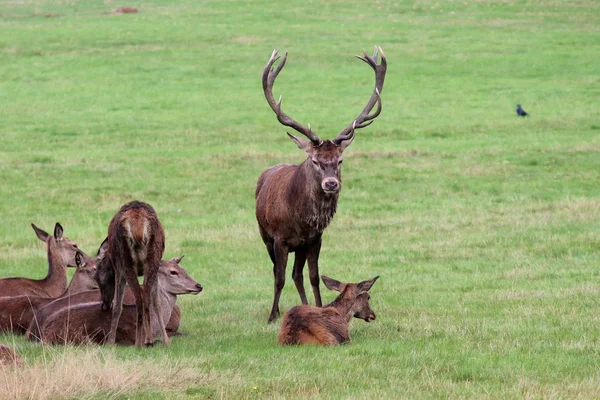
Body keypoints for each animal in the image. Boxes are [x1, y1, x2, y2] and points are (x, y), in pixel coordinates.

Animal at [96, 200, 166, 346]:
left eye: (97, 278)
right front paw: (163, 340)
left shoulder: (118, 270)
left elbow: (118, 305)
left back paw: (138, 343)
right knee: (145, 297)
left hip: (125, 261)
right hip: (153, 259)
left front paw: (110, 342)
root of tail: (138, 226)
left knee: (138, 299)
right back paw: (149, 340)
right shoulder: (156, 269)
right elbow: (156, 302)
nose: (104, 306)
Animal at [255, 47, 386, 324]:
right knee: (277, 271)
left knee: (297, 274)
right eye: (315, 160)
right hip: (264, 233)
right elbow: (279, 278)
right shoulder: (280, 238)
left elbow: (314, 277)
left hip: (300, 246)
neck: (299, 218)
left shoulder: (315, 237)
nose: (331, 183)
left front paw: (318, 307)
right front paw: (272, 316)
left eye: (340, 160)